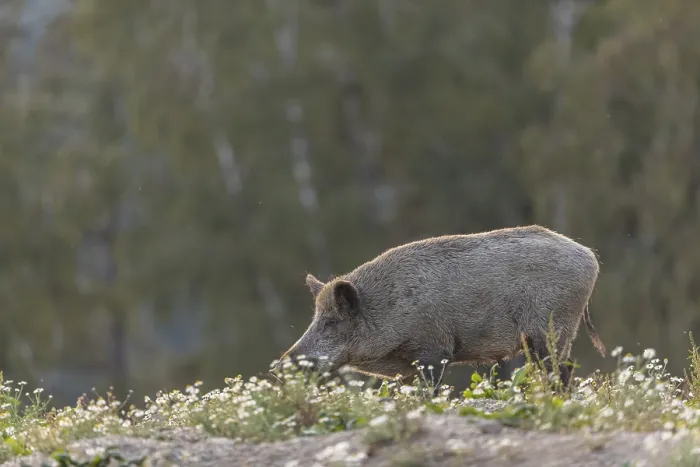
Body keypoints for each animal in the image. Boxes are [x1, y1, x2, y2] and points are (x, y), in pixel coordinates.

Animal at [276, 225, 606, 393]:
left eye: (331, 322)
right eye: (315, 318)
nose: (278, 366)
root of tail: (590, 256)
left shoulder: (433, 349)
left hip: (550, 328)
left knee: (560, 372)